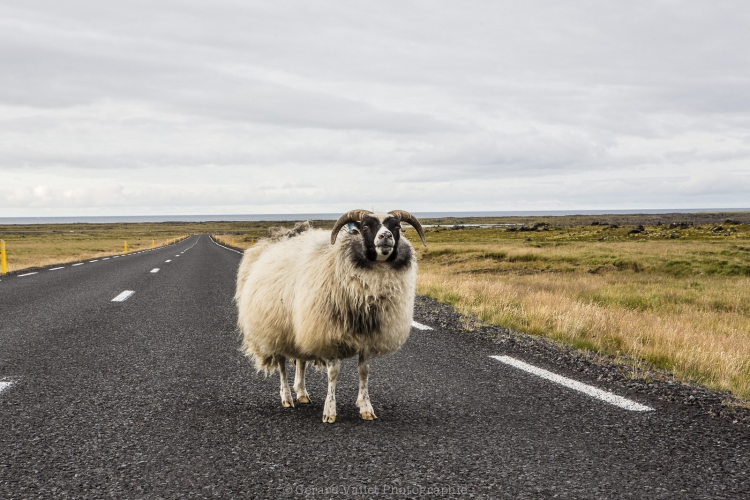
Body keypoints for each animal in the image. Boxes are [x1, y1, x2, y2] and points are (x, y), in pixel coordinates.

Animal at [238, 209, 428, 424]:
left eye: (397, 227)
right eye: (365, 226)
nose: (386, 236)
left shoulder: (367, 337)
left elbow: (364, 372)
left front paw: (366, 408)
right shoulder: (329, 334)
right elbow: (333, 373)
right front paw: (329, 411)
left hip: (300, 326)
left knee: (301, 361)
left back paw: (301, 393)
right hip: (274, 328)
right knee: (281, 365)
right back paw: (287, 397)